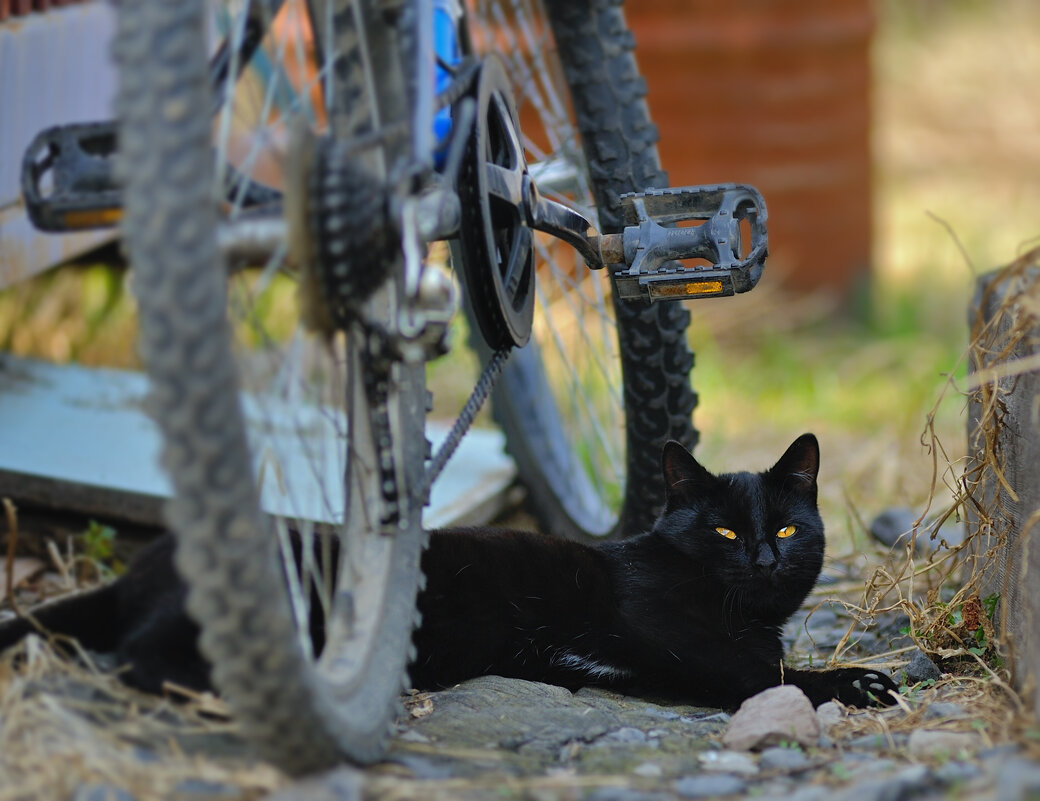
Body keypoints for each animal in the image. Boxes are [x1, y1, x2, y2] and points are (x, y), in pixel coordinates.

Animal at [0, 436, 898, 707]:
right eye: (724, 529)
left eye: (788, 527)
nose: (764, 556)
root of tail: (144, 562)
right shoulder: (677, 641)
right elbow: (767, 674)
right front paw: (851, 681)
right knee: (141, 656)